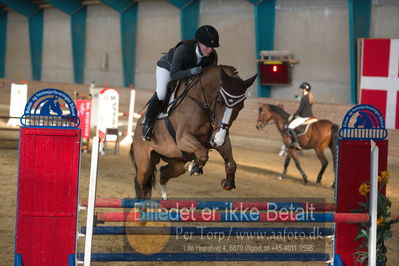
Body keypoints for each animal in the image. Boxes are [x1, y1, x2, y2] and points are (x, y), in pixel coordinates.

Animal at [130, 66, 258, 200]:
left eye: (240, 106)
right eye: (219, 102)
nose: (218, 141)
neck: (203, 103)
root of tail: (138, 125)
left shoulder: (219, 136)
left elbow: (231, 163)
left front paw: (227, 183)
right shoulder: (183, 138)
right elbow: (203, 153)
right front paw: (195, 167)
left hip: (177, 163)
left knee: (164, 173)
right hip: (145, 163)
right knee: (141, 184)